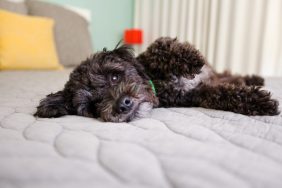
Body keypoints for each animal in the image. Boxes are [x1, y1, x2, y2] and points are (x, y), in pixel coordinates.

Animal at [35, 37, 280, 122]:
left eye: (115, 76)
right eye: (94, 105)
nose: (123, 104)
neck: (158, 85)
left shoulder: (150, 57)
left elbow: (160, 46)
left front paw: (191, 58)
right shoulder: (197, 94)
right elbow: (223, 95)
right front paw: (261, 103)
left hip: (216, 75)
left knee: (231, 75)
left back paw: (255, 78)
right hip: (216, 81)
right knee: (229, 81)